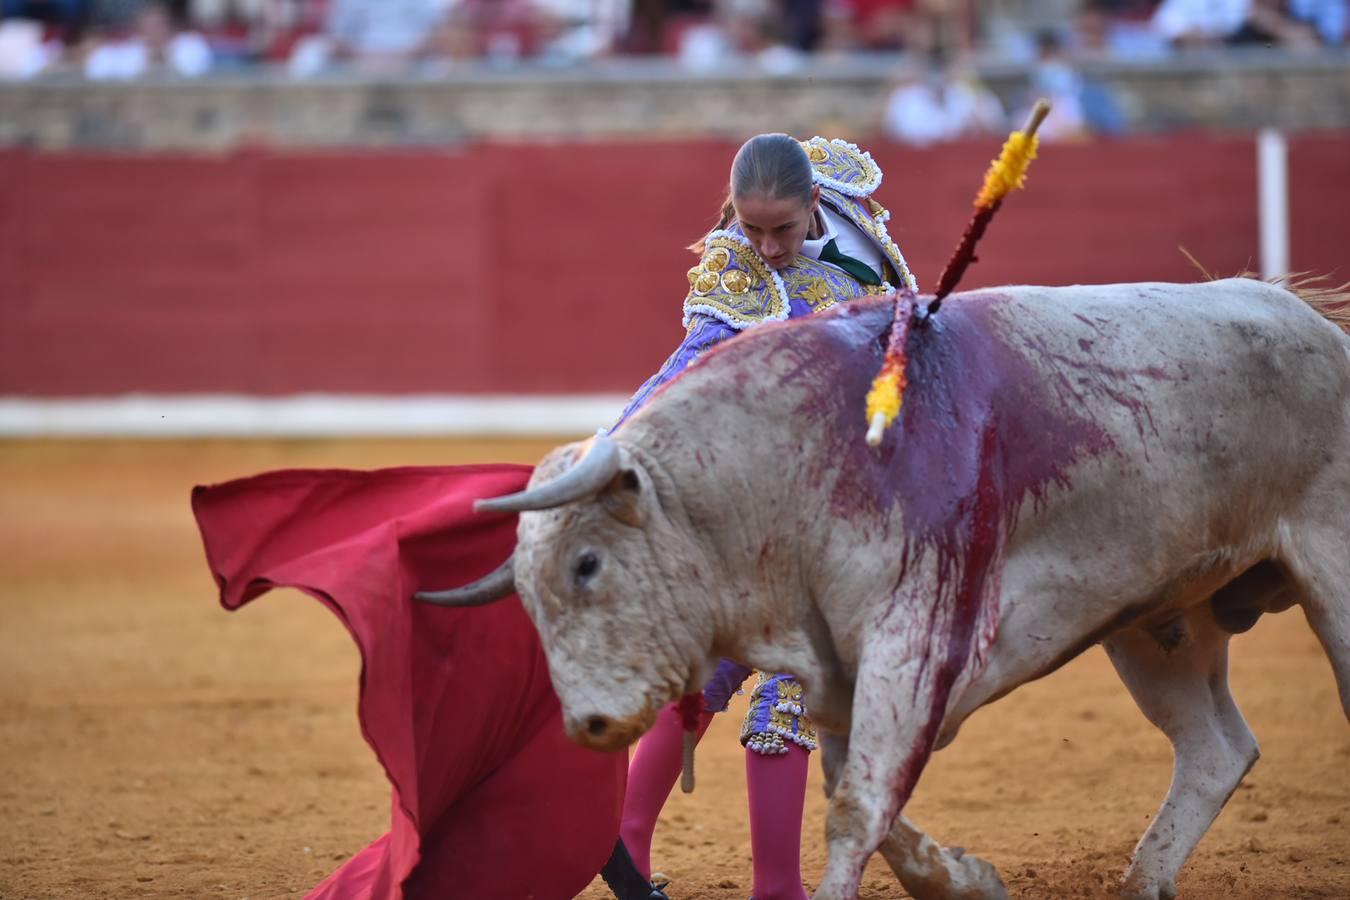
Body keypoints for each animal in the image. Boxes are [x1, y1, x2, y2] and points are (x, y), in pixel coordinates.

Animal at [421, 277, 1350, 895]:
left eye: (587, 565)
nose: (588, 724)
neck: (788, 466)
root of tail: (1316, 323)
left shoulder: (914, 641)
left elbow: (855, 805)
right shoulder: (844, 671)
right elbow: (857, 792)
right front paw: (965, 878)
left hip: (1330, 572)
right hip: (1159, 622)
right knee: (1215, 748)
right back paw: (1145, 880)